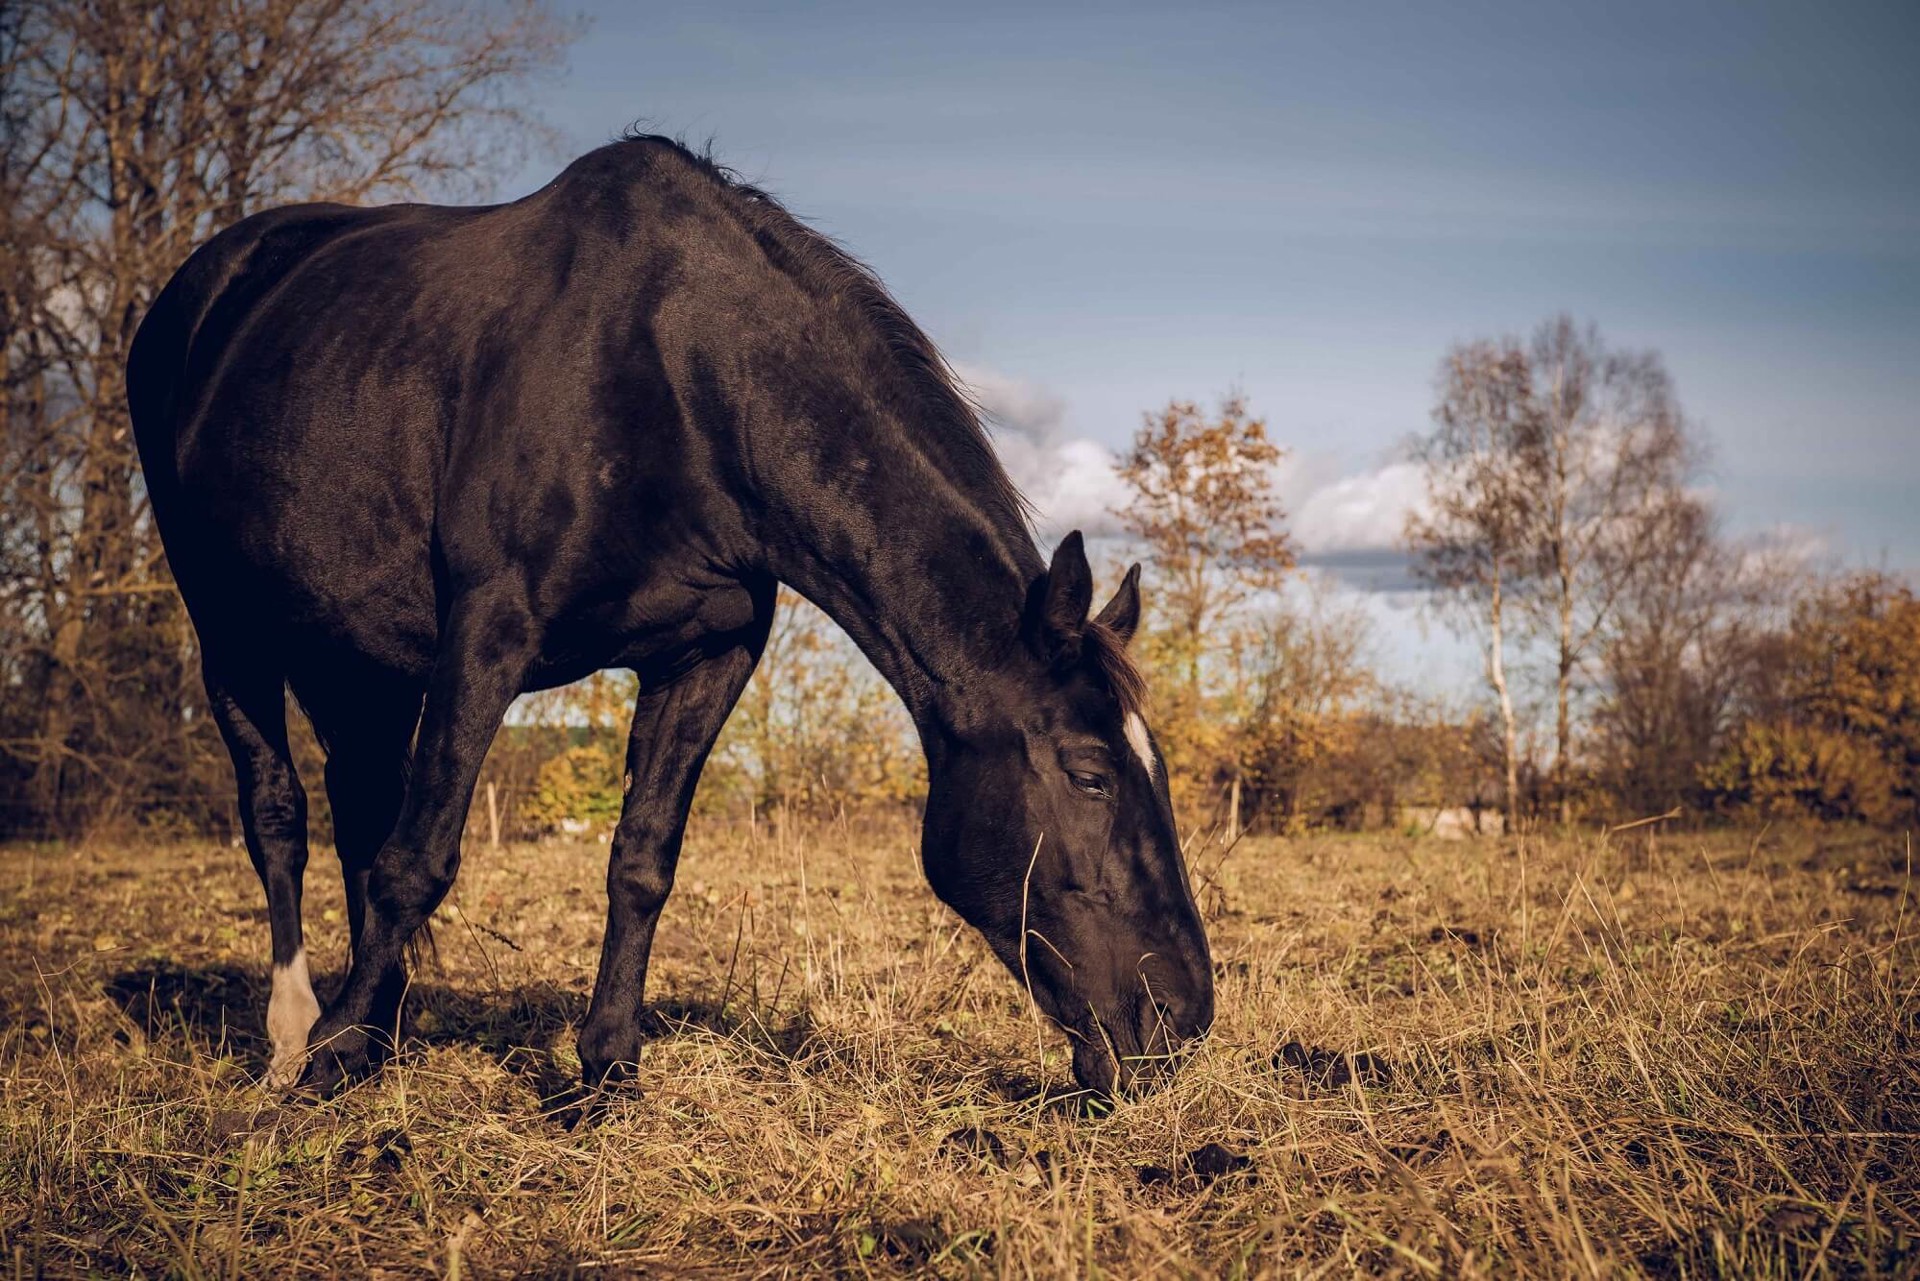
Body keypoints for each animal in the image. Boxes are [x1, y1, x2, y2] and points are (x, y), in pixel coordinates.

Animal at [126, 134, 1214, 1101]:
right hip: (228, 628)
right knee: (280, 820)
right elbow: (419, 856)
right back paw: (299, 1034)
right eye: (1090, 773)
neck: (673, 379)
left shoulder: (706, 655)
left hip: (360, 657)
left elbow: (641, 861)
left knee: (356, 809)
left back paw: (384, 1025)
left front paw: (605, 1068)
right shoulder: (486, 636)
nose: (1184, 1014)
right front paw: (334, 1053)